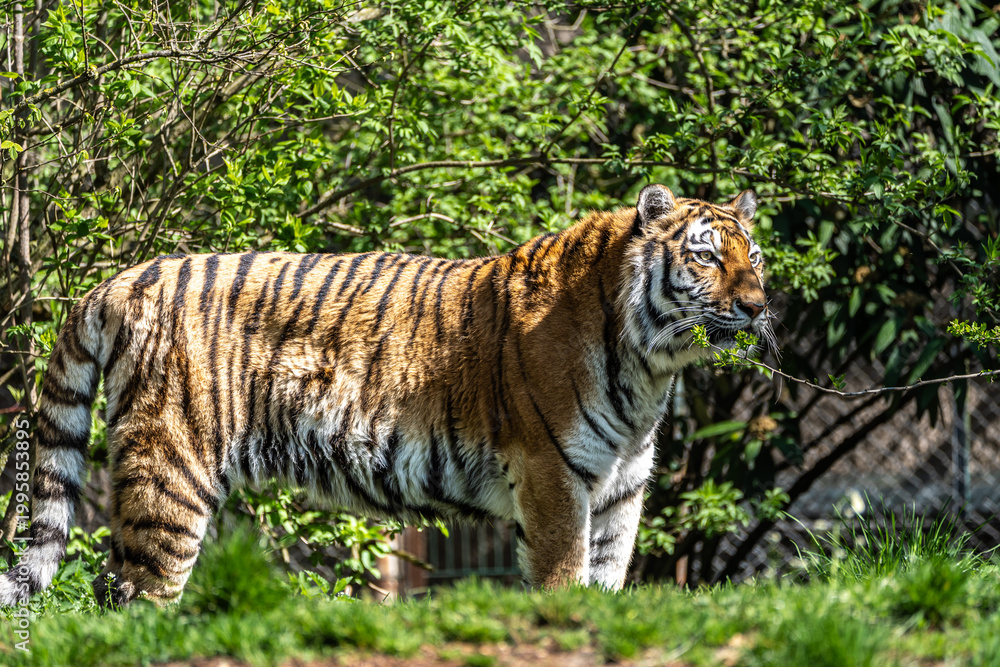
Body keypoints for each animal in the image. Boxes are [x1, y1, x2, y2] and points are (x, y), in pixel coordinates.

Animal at [0, 184, 770, 607]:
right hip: (171, 470)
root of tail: (126, 276)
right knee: (134, 597)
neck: (649, 366)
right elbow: (560, 579)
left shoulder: (619, 488)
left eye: (754, 256)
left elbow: (604, 583)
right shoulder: (553, 478)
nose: (760, 307)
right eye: (705, 255)